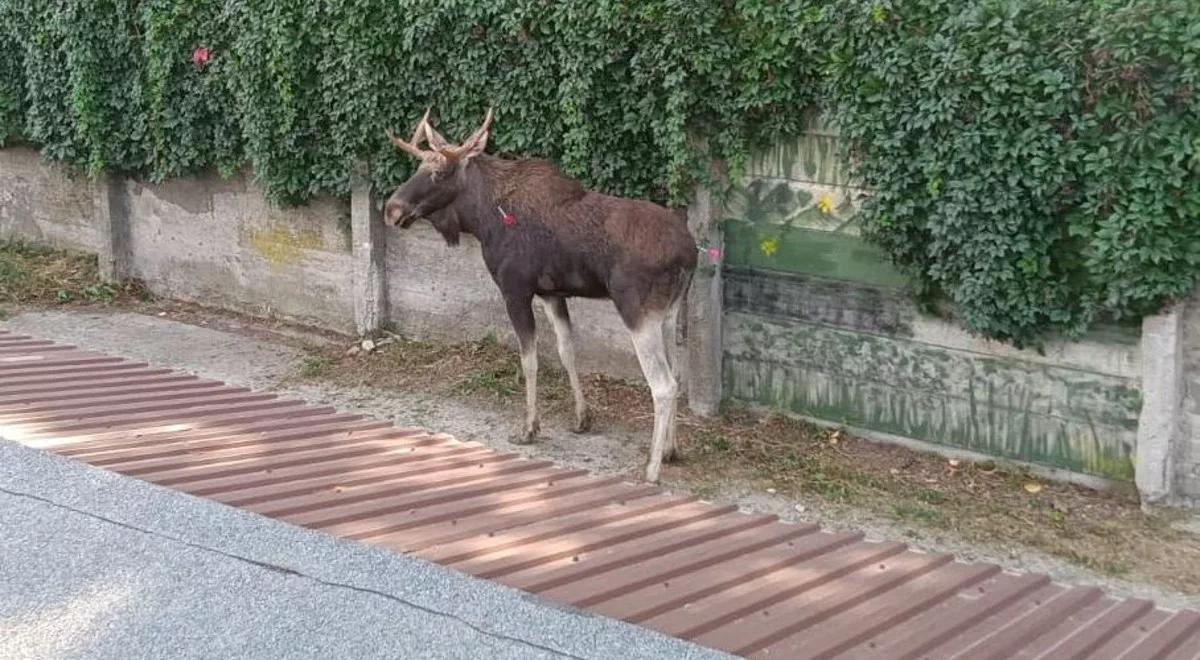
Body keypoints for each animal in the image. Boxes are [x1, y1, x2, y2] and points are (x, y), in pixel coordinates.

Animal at [379, 107, 700, 482]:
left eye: (440, 172)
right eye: (417, 168)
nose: (392, 209)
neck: (483, 219)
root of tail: (690, 253)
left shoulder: (515, 289)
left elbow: (529, 359)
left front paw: (529, 427)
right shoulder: (552, 293)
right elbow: (566, 351)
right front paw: (582, 418)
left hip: (638, 311)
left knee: (663, 385)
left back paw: (651, 468)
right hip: (669, 313)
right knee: (677, 376)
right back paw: (670, 450)